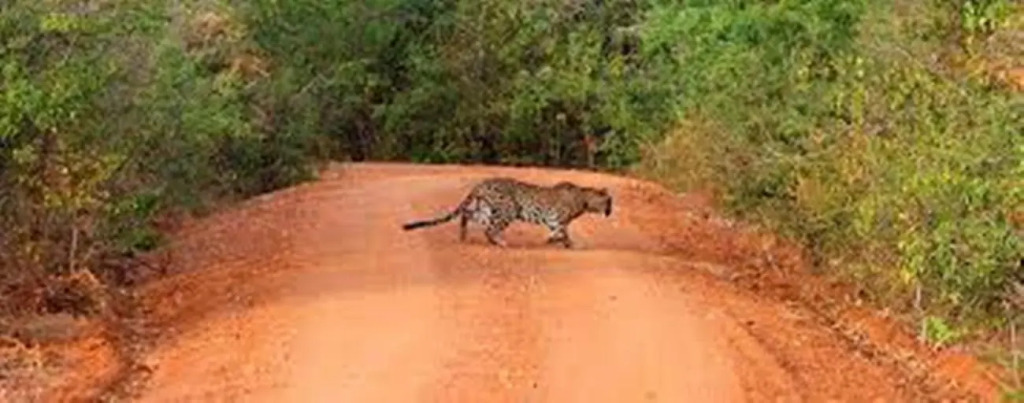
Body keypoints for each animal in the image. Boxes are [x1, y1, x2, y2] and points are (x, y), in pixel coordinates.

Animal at [401, 177, 612, 248]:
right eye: (609, 201)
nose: (611, 212)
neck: (585, 199)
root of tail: (481, 183)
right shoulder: (559, 218)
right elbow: (564, 232)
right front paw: (570, 244)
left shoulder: (554, 220)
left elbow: (557, 232)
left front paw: (553, 241)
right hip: (508, 209)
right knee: (489, 229)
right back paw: (500, 242)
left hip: (486, 209)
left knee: (469, 216)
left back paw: (464, 236)